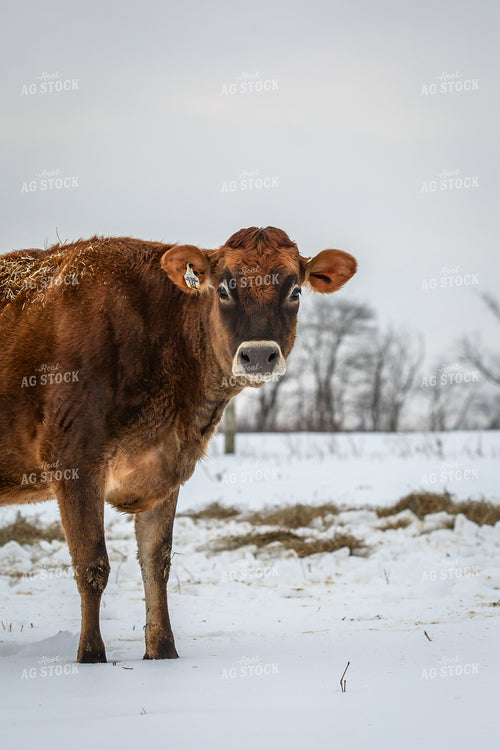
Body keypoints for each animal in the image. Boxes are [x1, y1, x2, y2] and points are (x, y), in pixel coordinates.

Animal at [0, 226, 356, 662]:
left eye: (295, 292)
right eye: (224, 288)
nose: (258, 355)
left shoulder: (165, 469)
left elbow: (157, 563)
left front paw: (163, 651)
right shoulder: (74, 462)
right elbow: (92, 566)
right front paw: (91, 657)